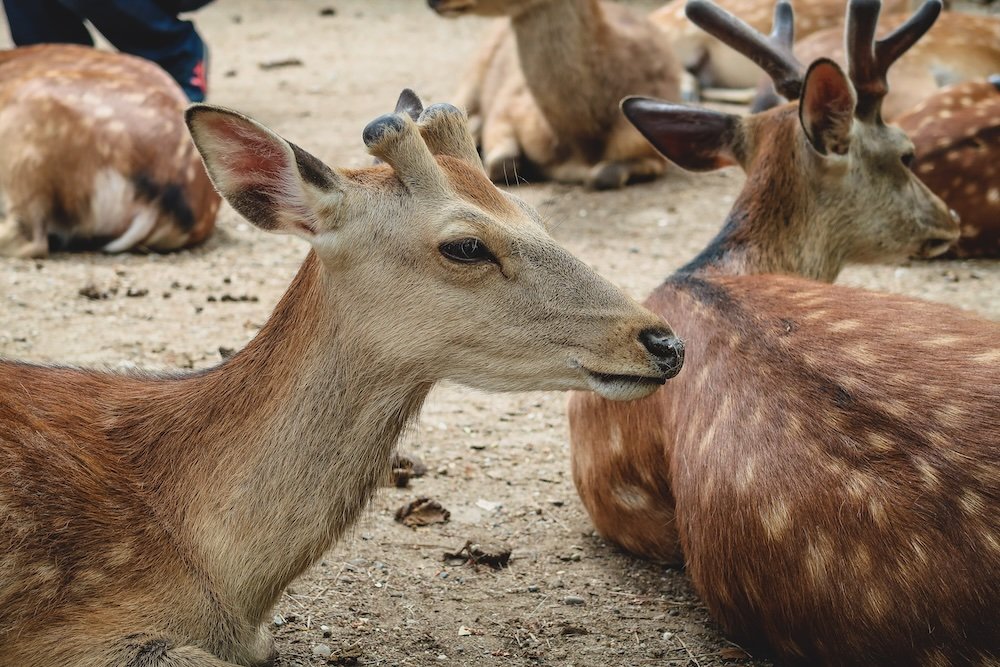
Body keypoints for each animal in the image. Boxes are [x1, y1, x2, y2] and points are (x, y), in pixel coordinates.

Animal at [426, 0, 684, 190]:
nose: (433, 1)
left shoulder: (648, 147)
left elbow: (603, 175)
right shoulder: (506, 108)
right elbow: (501, 164)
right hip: (474, 72)